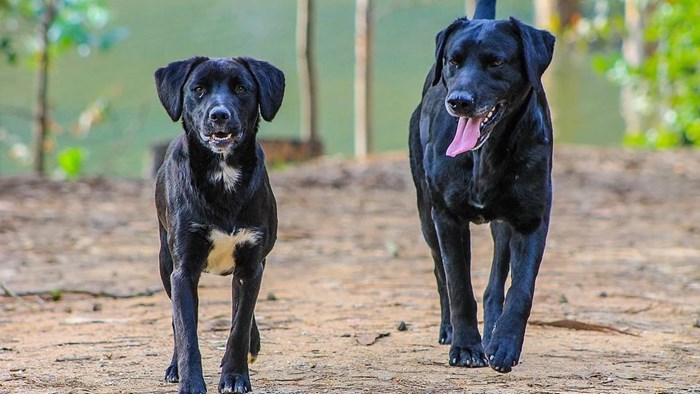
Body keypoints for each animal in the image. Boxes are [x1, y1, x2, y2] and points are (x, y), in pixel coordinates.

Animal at [154, 56, 284, 394]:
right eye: (198, 89)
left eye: (241, 88)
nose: (219, 114)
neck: (223, 174)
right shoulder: (183, 269)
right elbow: (187, 331)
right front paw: (190, 382)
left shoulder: (251, 263)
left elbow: (239, 326)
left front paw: (235, 376)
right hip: (164, 261)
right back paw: (174, 366)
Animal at [408, 1, 556, 374]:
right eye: (453, 61)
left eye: (496, 62)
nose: (459, 101)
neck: (484, 155)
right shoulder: (446, 217)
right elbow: (459, 285)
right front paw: (464, 347)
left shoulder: (531, 221)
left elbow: (520, 290)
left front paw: (504, 345)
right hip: (425, 214)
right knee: (440, 272)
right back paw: (450, 330)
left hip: (502, 225)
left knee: (494, 286)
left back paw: (491, 335)